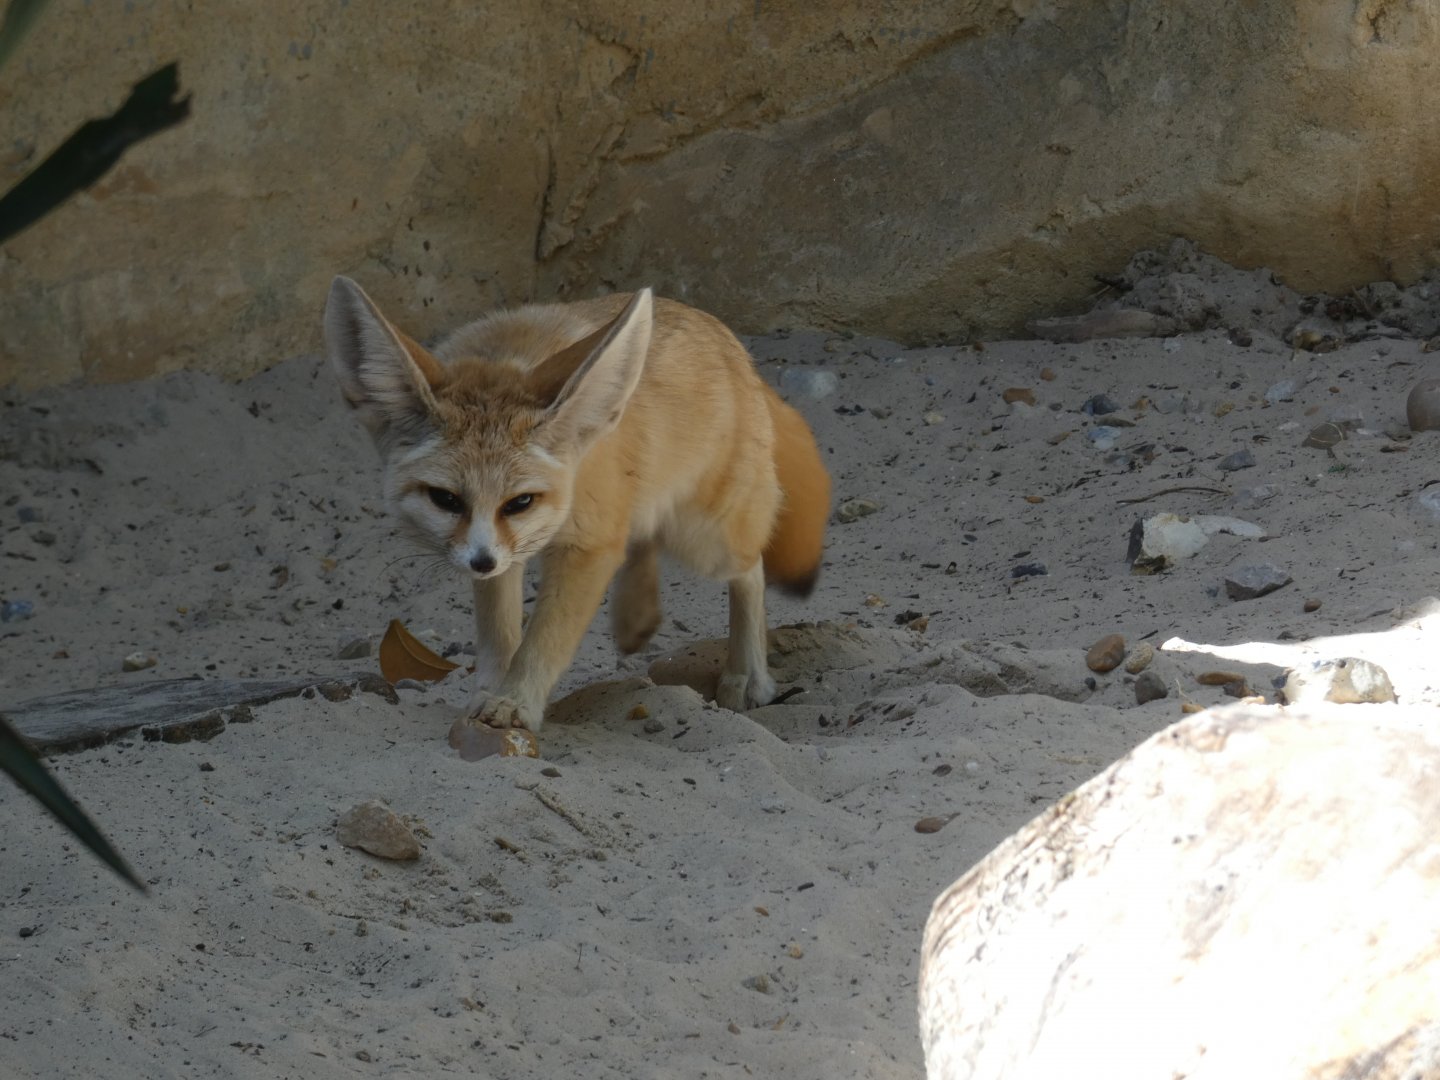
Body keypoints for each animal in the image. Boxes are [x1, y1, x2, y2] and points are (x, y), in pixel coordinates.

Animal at [324, 277, 830, 735]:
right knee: (644, 541)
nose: (480, 563)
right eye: (446, 499)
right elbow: (498, 634)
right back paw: (635, 616)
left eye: (520, 501)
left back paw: (747, 675)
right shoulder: (507, 551)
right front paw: (490, 691)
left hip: (707, 542)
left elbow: (544, 640)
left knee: (751, 569)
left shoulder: (583, 545)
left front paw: (515, 702)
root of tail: (735, 349)